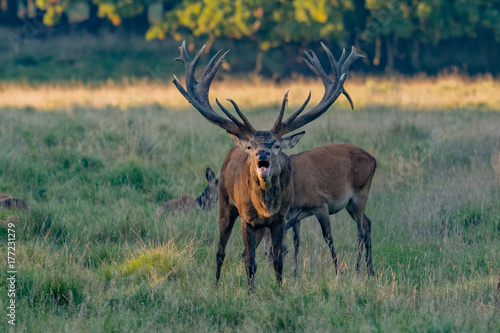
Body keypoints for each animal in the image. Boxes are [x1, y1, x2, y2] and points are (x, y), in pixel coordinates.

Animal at [174, 40, 362, 286]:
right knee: (221, 251)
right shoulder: (246, 219)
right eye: (251, 146)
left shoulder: (280, 218)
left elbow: (278, 260)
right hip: (225, 203)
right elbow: (250, 262)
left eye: (277, 145)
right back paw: (215, 286)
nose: (261, 154)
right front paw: (251, 291)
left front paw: (279, 288)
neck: (264, 209)